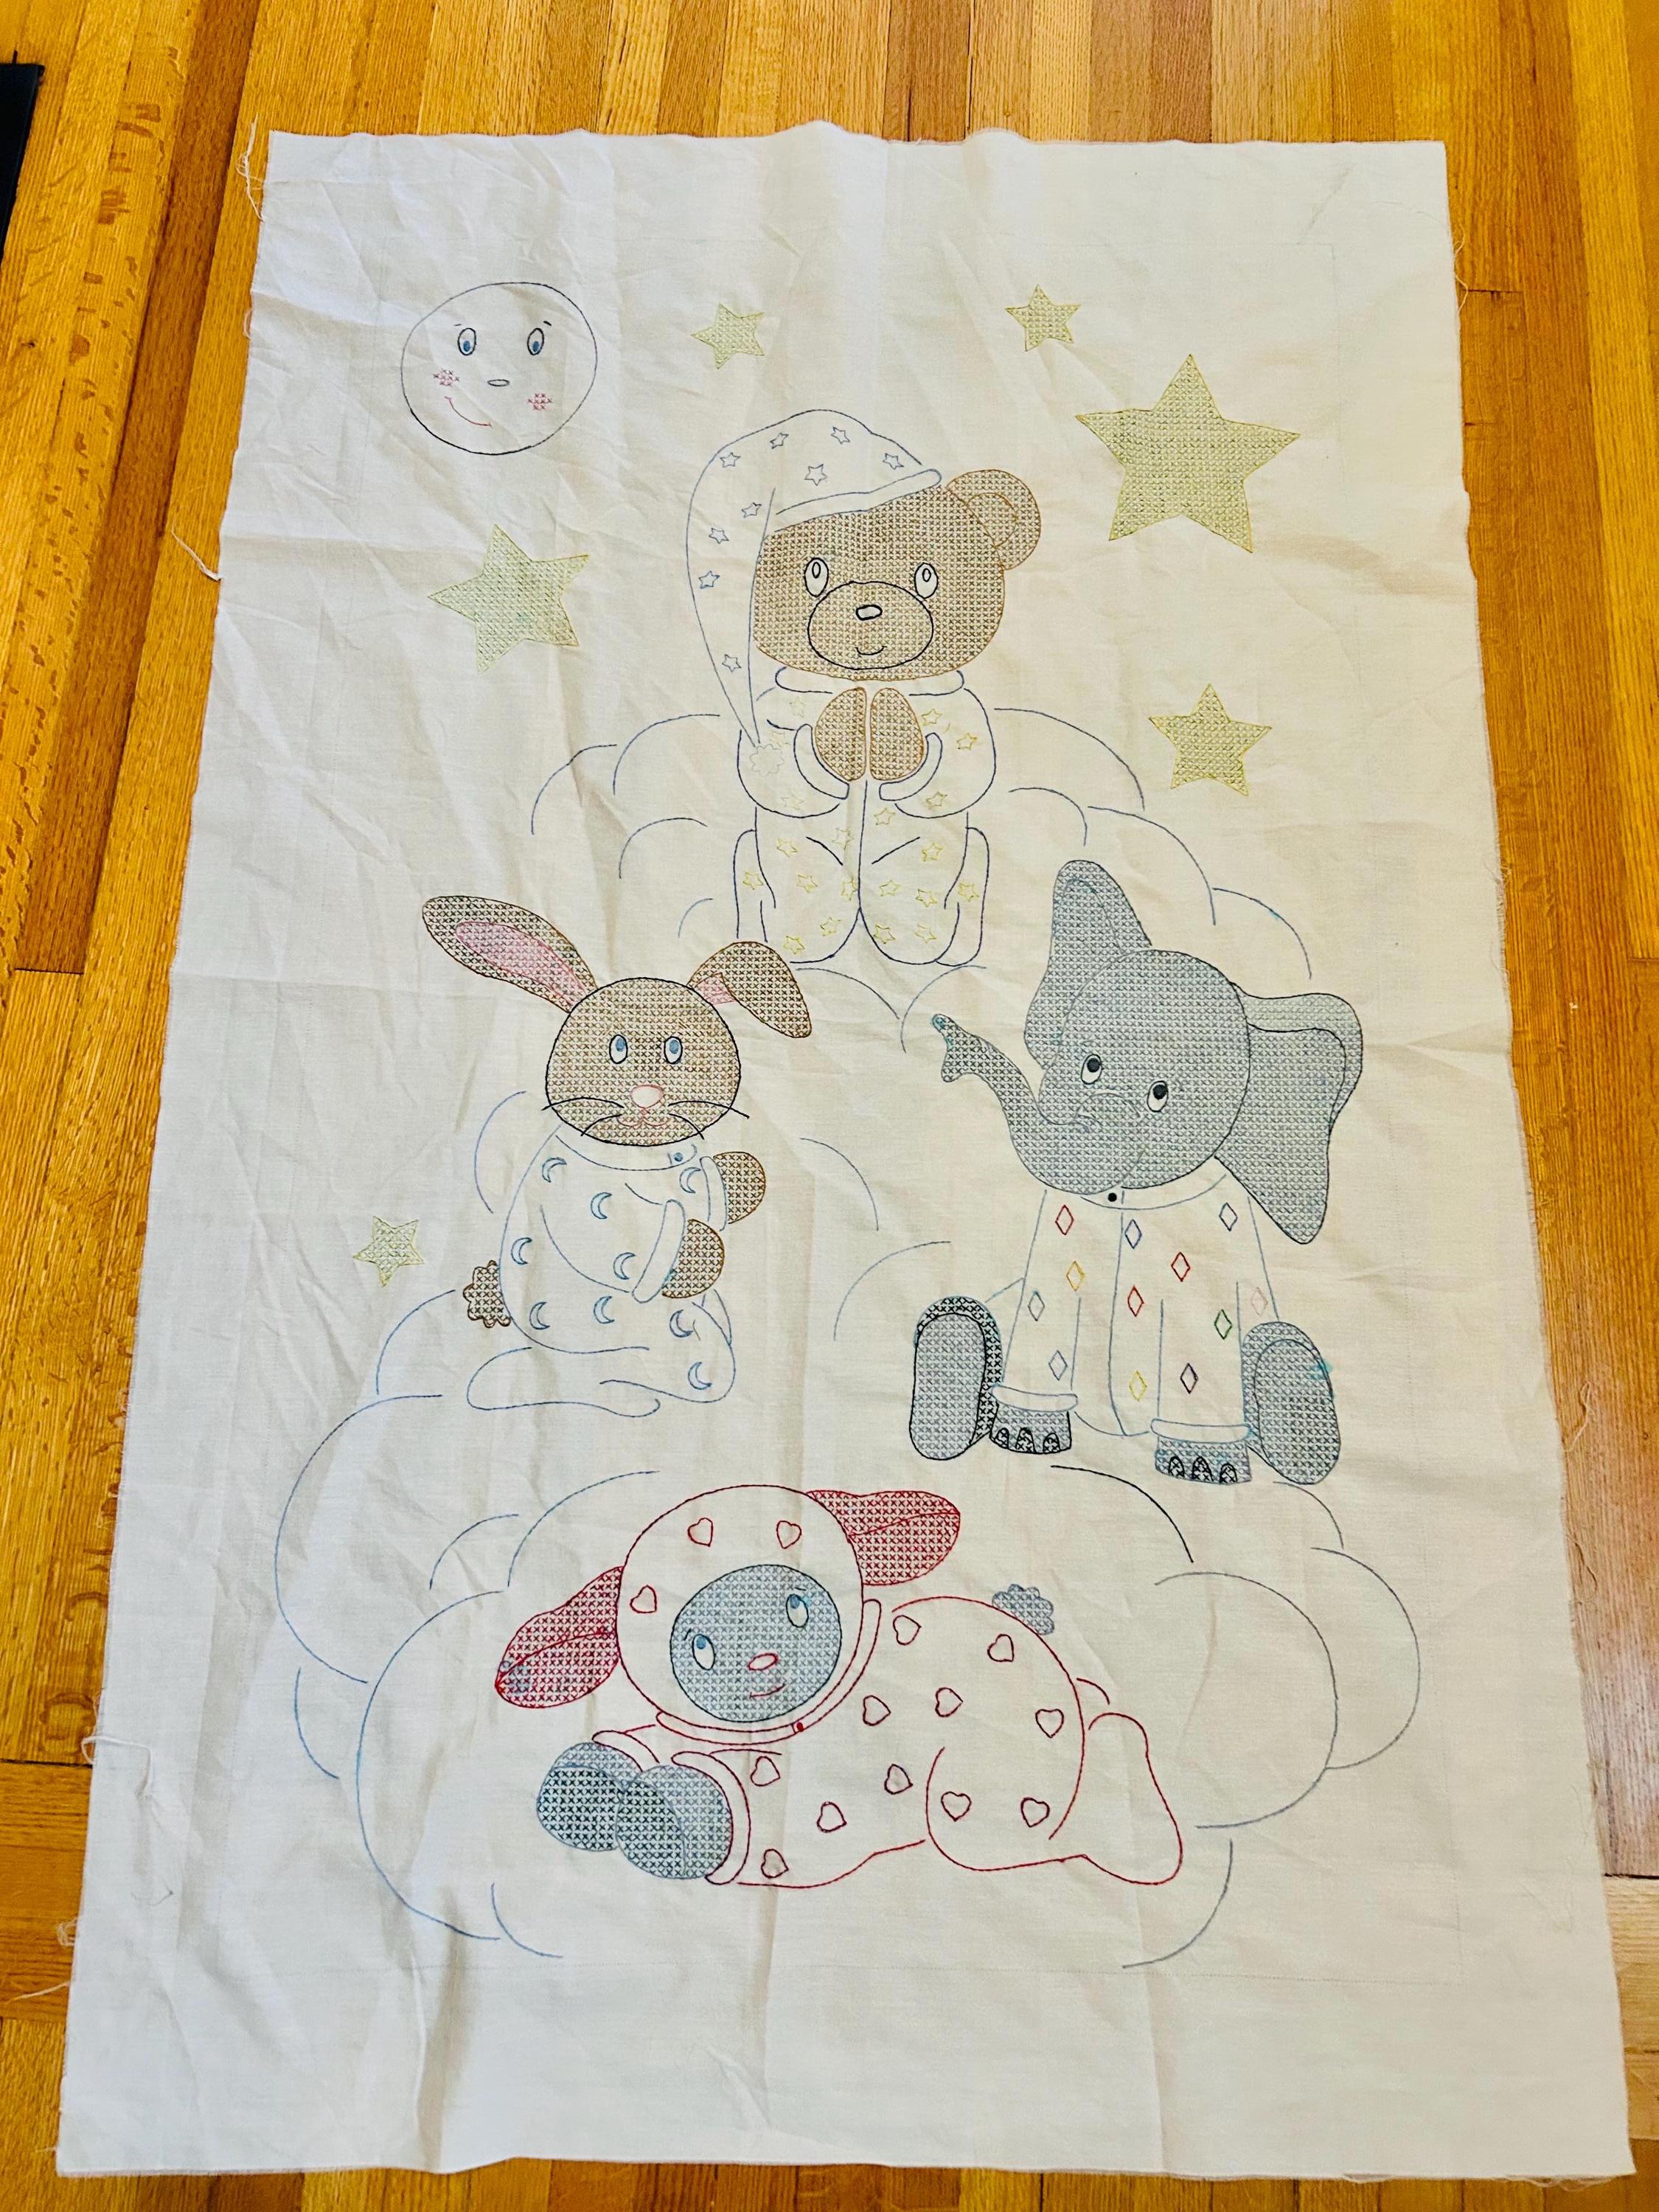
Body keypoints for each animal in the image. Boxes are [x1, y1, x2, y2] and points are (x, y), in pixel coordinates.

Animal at [423, 895, 810, 1412]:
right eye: (617, 1048)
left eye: (675, 1048)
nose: (646, 1097)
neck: (644, 1152)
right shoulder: (581, 1192)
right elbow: (621, 1235)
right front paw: (698, 1251)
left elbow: (718, 1189)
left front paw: (742, 1175)